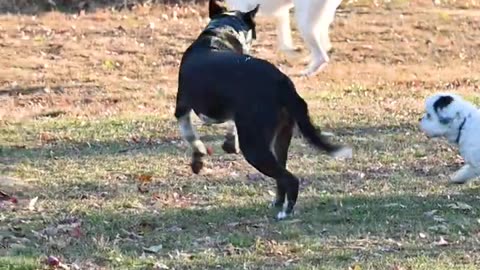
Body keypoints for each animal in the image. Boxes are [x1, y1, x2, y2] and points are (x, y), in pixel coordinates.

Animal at [173, 0, 352, 219]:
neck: (219, 34)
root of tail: (282, 82)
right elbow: (230, 127)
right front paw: (228, 143)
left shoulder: (182, 107)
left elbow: (191, 137)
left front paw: (198, 159)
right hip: (280, 139)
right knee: (282, 175)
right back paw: (278, 203)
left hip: (255, 148)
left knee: (290, 178)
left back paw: (285, 212)